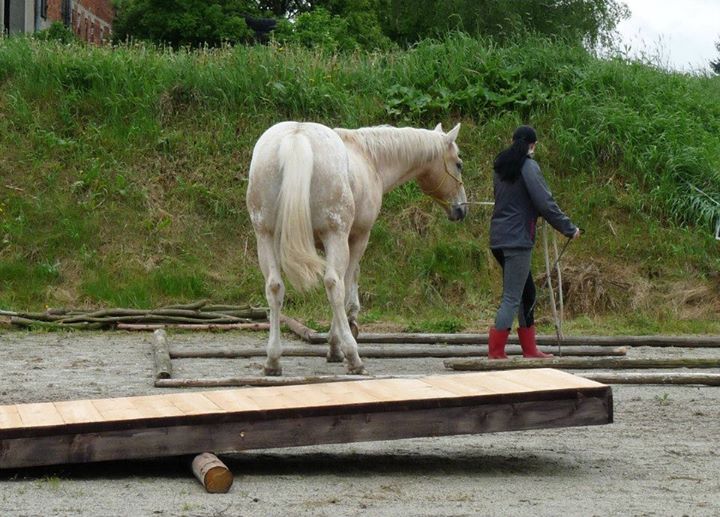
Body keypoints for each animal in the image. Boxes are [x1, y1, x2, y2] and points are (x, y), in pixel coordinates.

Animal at [246, 121, 466, 374]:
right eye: (458, 164)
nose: (461, 209)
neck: (369, 157)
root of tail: (296, 137)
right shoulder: (357, 239)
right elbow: (347, 291)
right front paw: (338, 345)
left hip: (265, 235)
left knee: (274, 287)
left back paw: (273, 360)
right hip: (335, 236)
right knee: (333, 285)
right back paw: (354, 358)